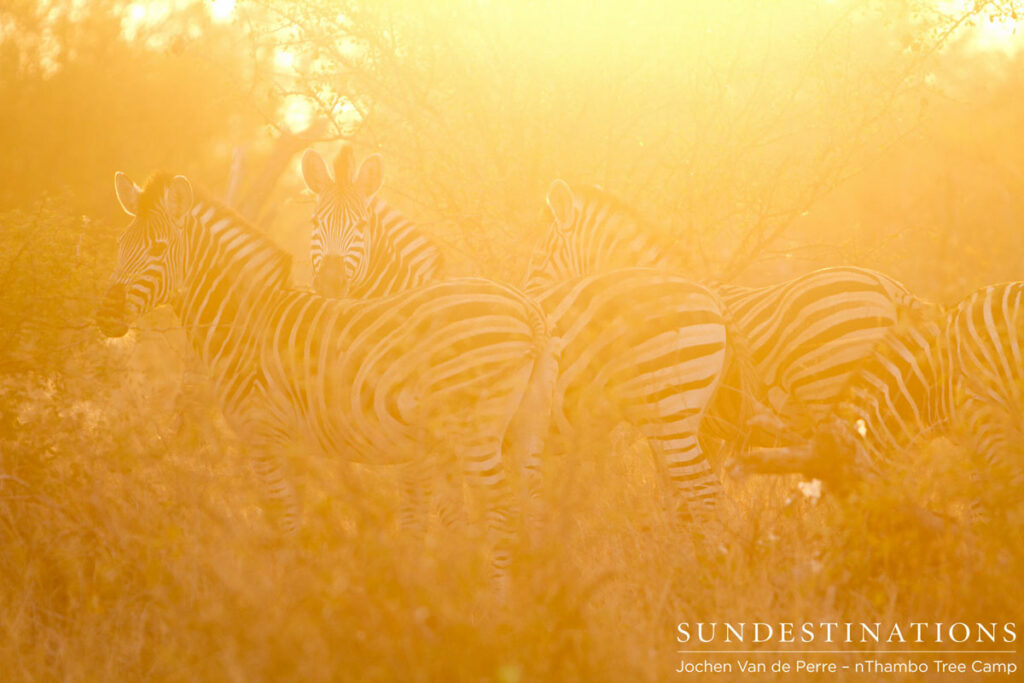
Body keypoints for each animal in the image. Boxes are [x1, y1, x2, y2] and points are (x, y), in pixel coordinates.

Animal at [96, 171, 557, 582]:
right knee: (534, 507)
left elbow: (281, 523)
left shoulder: (263, 437)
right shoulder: (294, 445)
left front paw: (286, 599)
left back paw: (493, 606)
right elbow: (297, 523)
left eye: (158, 248)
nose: (107, 314)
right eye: (120, 245)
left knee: (502, 515)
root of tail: (528, 310)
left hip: (475, 431)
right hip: (527, 427)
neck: (247, 321)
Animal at [301, 149, 730, 526]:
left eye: (361, 226)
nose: (331, 281)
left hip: (670, 408)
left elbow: (427, 516)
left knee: (703, 492)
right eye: (314, 223)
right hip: (667, 418)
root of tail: (707, 295)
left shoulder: (419, 447)